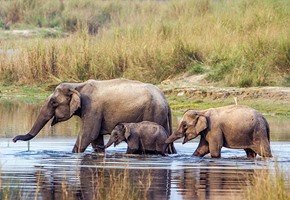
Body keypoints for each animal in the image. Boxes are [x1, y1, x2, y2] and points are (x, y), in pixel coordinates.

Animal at [13, 78, 177, 153]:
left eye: (53, 102)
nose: (14, 140)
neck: (76, 86)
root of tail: (166, 101)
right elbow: (95, 138)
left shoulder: (92, 108)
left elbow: (88, 135)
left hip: (153, 113)